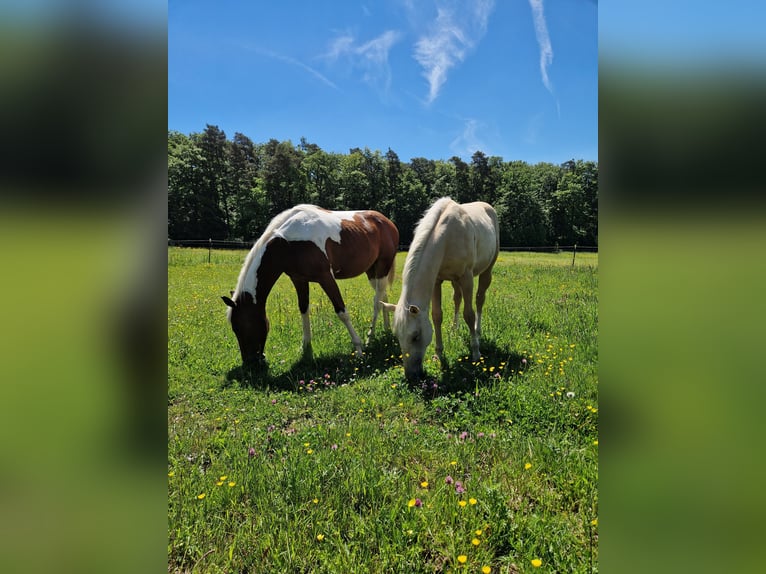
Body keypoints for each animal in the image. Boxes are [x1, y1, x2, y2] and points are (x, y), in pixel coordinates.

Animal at [222, 205, 399, 366]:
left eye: (240, 327)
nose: (249, 362)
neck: (287, 243)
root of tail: (387, 222)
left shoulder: (326, 277)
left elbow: (342, 312)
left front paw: (359, 349)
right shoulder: (299, 280)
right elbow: (303, 309)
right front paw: (305, 347)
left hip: (382, 267)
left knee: (376, 302)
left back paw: (370, 338)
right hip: (372, 271)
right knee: (382, 296)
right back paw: (387, 329)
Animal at [381, 197, 499, 379]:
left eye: (415, 336)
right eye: (397, 336)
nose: (411, 376)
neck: (446, 238)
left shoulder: (466, 277)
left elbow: (469, 314)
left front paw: (476, 353)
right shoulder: (437, 281)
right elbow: (437, 316)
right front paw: (438, 354)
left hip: (487, 269)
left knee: (480, 299)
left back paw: (477, 331)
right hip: (455, 280)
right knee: (457, 299)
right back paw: (455, 329)